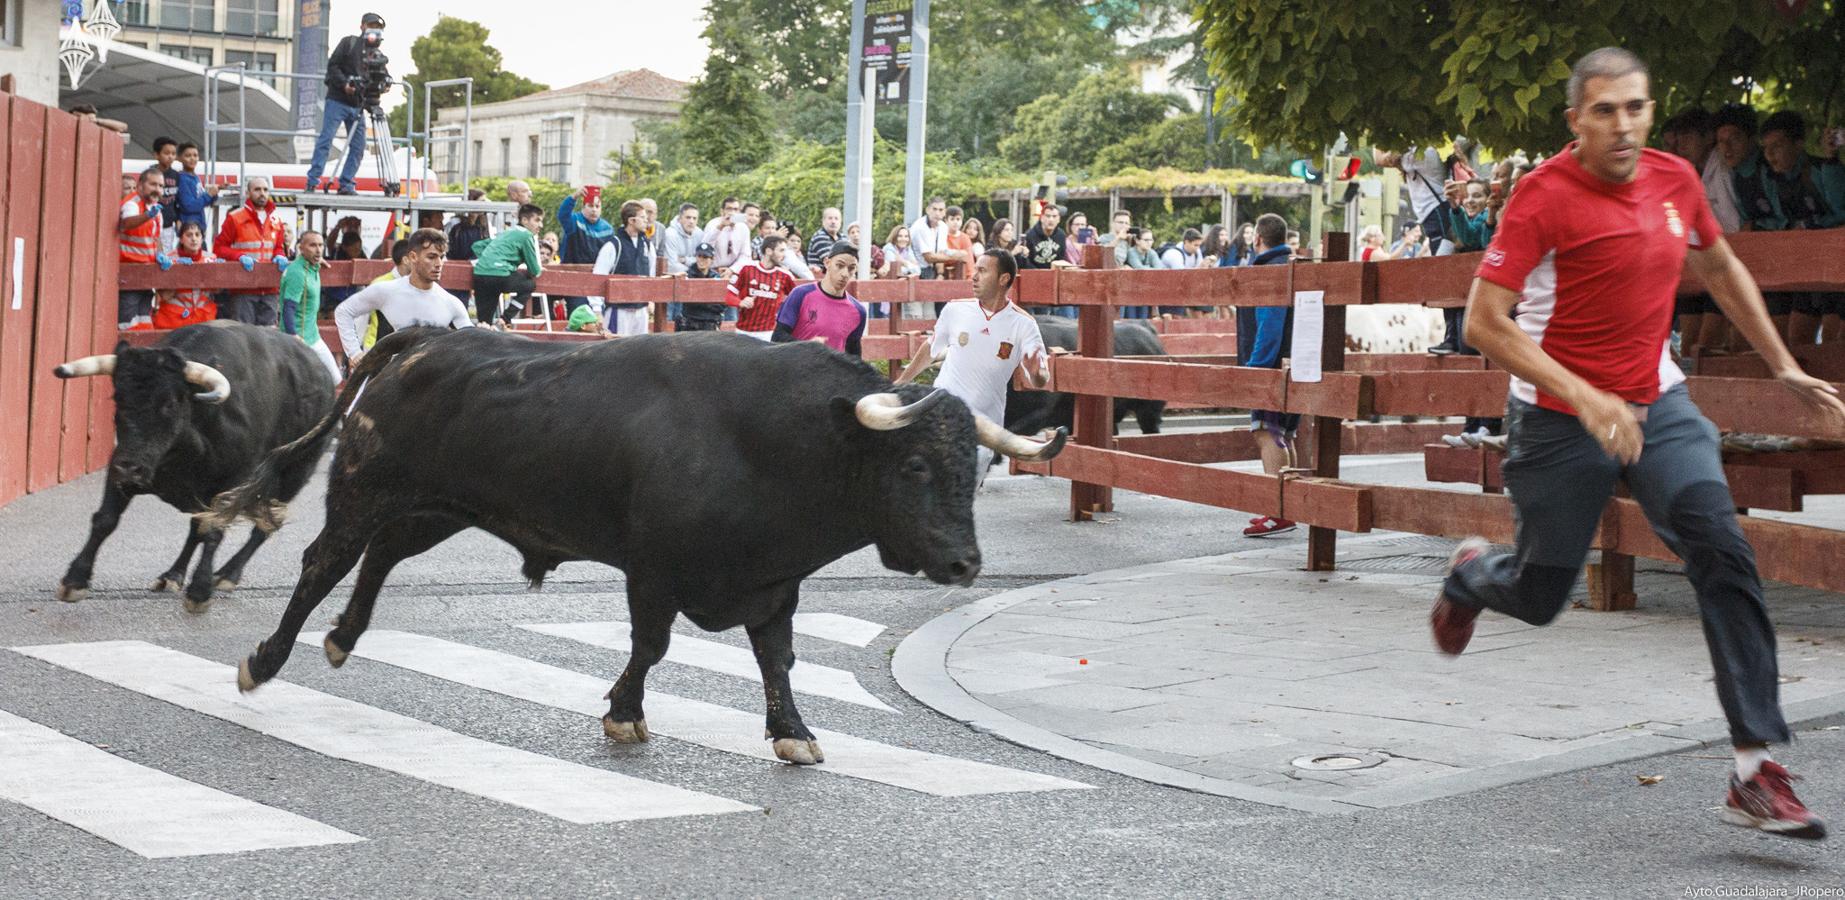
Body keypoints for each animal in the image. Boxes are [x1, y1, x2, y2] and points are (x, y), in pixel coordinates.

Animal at [52, 320, 335, 612]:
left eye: (169, 403)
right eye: (118, 398)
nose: (130, 468)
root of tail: (325, 376)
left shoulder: (234, 482)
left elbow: (214, 531)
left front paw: (200, 591)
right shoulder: (120, 464)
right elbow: (105, 519)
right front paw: (75, 579)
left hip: (294, 474)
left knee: (265, 526)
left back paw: (226, 574)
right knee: (197, 528)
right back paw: (172, 575)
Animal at [205, 326, 1070, 763]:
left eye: (969, 467)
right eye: (916, 464)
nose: (964, 563)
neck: (779, 439)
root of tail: (427, 338)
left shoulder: (774, 584)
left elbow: (777, 658)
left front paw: (792, 732)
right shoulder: (652, 570)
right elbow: (651, 646)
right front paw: (624, 714)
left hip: (439, 508)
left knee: (380, 558)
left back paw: (343, 641)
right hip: (362, 488)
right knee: (323, 564)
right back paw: (266, 660)